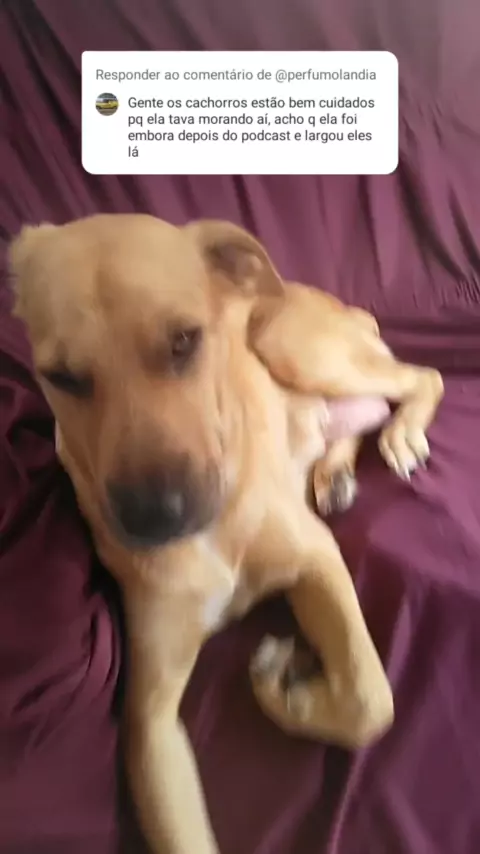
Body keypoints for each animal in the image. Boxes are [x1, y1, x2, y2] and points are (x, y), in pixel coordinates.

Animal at [9, 214, 443, 854]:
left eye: (185, 341)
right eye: (61, 377)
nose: (156, 519)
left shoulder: (317, 559)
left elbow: (371, 699)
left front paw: (286, 692)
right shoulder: (149, 724)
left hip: (292, 343)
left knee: (420, 378)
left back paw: (404, 432)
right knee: (358, 417)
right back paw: (336, 471)